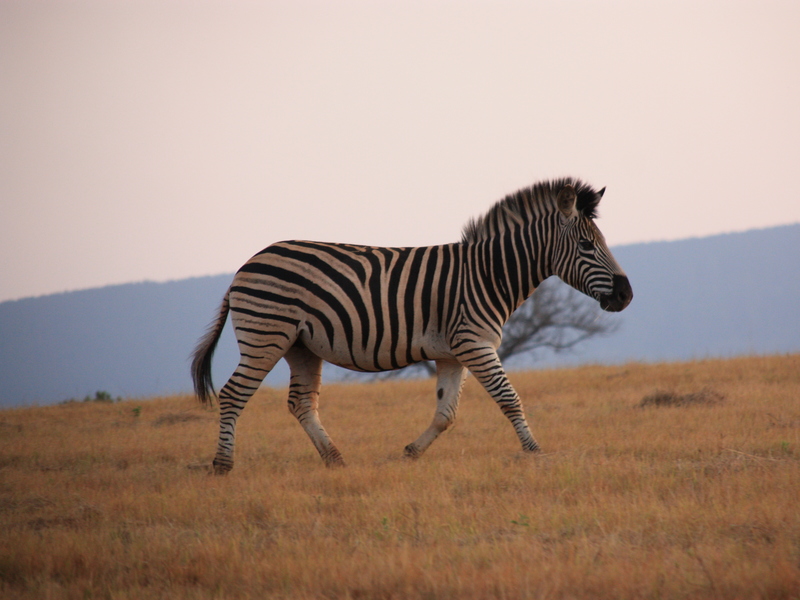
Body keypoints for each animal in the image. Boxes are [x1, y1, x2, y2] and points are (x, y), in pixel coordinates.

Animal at [192, 178, 632, 473]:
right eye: (587, 246)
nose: (626, 295)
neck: (488, 274)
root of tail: (247, 264)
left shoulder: (454, 353)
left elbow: (446, 413)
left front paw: (411, 453)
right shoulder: (475, 342)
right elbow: (510, 399)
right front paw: (536, 452)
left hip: (300, 346)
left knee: (301, 403)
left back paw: (335, 459)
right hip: (267, 335)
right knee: (233, 394)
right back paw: (222, 464)